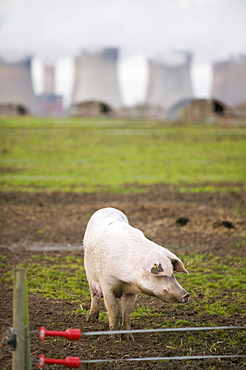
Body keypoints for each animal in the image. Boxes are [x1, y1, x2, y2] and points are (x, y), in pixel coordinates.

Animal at [83, 207, 189, 340]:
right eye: (163, 274)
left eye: (172, 275)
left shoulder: (132, 291)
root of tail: (107, 208)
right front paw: (114, 338)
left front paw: (129, 339)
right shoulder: (107, 284)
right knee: (93, 295)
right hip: (89, 274)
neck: (125, 279)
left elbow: (127, 312)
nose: (186, 295)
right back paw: (91, 320)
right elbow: (112, 311)